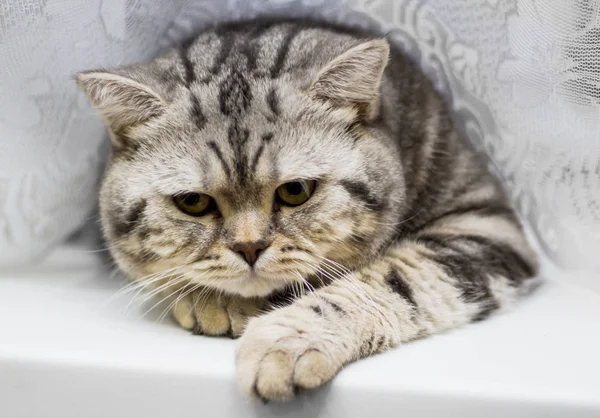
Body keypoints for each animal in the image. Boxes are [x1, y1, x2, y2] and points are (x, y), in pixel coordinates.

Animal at [76, 18, 540, 402]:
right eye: (193, 202)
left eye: (295, 191)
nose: (249, 247)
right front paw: (214, 300)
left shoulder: (485, 222)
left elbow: (391, 277)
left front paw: (287, 340)